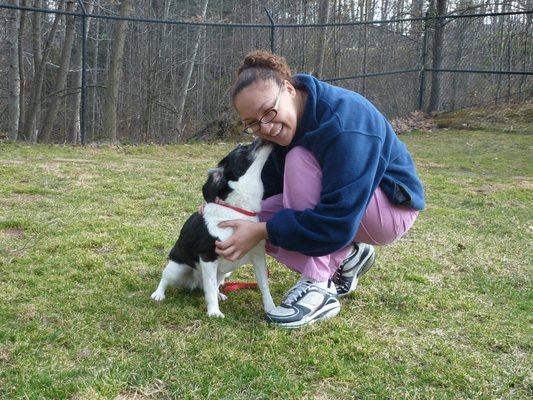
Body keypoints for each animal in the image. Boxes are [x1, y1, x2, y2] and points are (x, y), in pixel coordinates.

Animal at [150, 139, 274, 318]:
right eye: (242, 149)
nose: (261, 138)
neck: (237, 211)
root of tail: (195, 282)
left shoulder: (258, 256)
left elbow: (264, 286)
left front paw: (271, 309)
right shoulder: (208, 257)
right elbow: (209, 287)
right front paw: (214, 312)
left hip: (224, 274)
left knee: (215, 285)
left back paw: (219, 294)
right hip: (177, 268)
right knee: (165, 279)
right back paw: (158, 294)